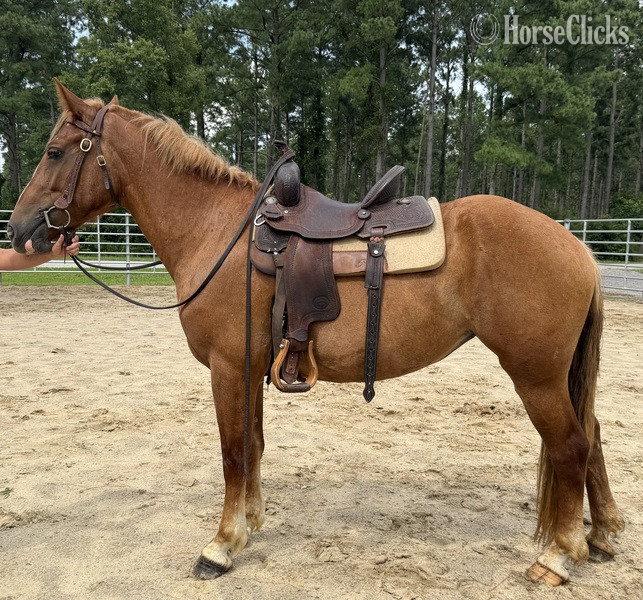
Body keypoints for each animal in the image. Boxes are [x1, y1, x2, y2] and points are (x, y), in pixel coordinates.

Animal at [7, 81, 624, 586]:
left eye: (55, 152)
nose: (19, 230)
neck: (218, 232)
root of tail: (576, 247)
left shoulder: (228, 366)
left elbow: (232, 451)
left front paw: (221, 546)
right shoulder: (250, 367)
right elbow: (253, 445)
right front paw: (250, 523)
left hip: (535, 375)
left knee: (571, 445)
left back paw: (560, 556)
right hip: (557, 376)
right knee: (591, 436)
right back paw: (602, 534)